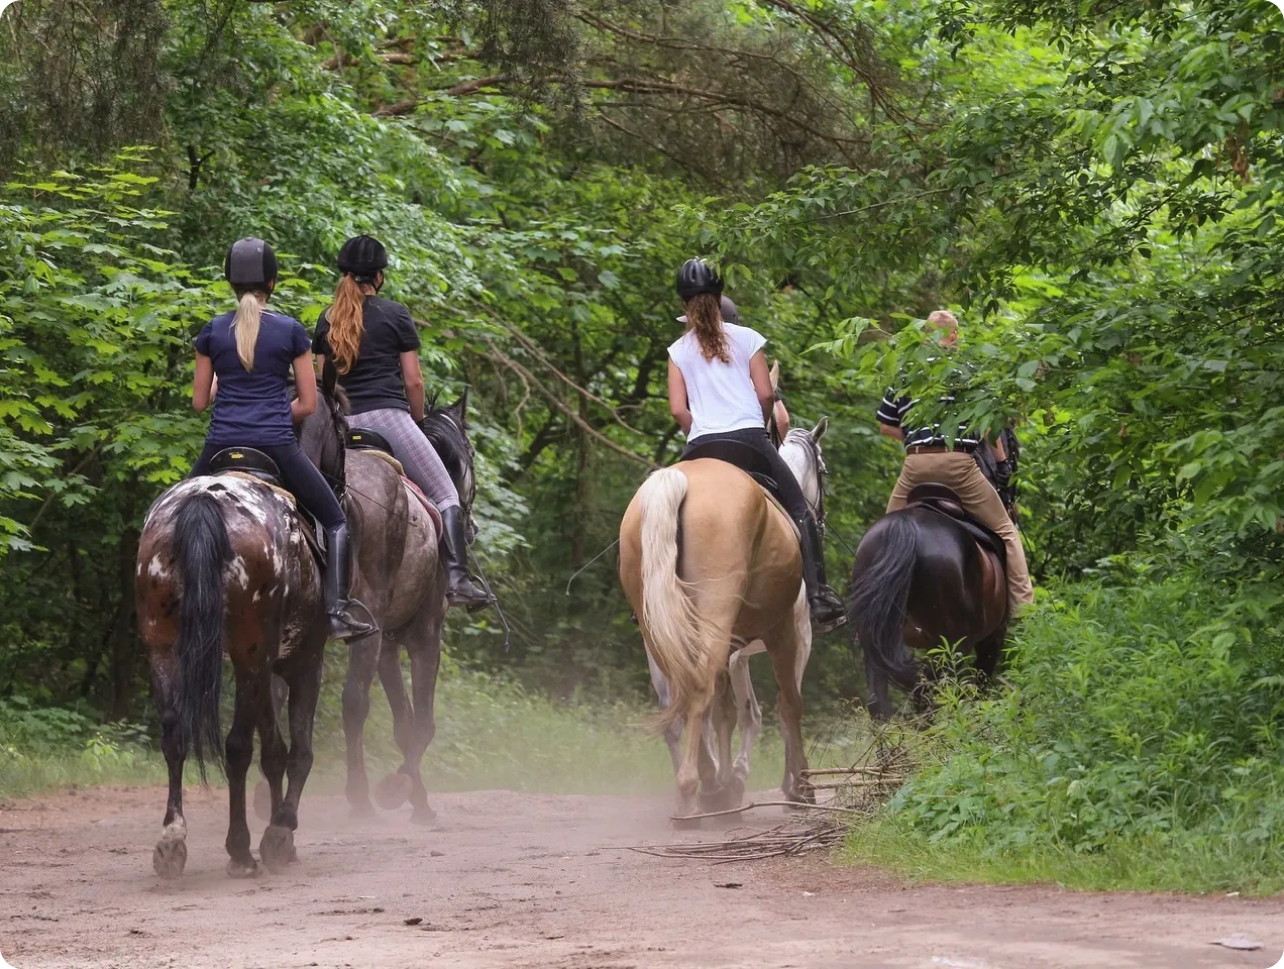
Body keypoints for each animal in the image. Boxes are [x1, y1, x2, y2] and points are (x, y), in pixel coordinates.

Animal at [135, 385, 349, 877]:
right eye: (344, 428)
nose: (343, 483)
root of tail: (205, 502)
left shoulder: (262, 663)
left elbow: (274, 751)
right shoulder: (301, 662)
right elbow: (296, 751)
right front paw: (280, 831)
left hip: (166, 647)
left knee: (174, 735)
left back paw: (172, 842)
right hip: (252, 652)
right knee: (236, 747)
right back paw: (240, 848)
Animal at [621, 423, 832, 816]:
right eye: (823, 471)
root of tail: (676, 482)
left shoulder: (736, 654)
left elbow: (732, 713)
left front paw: (729, 778)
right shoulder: (795, 635)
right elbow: (785, 707)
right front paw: (797, 788)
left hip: (660, 633)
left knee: (681, 704)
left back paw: (700, 787)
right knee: (700, 692)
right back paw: (696, 789)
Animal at [847, 492, 1006, 718]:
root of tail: (904, 526)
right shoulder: (992, 638)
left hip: (875, 640)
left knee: (878, 701)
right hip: (953, 645)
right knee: (941, 695)